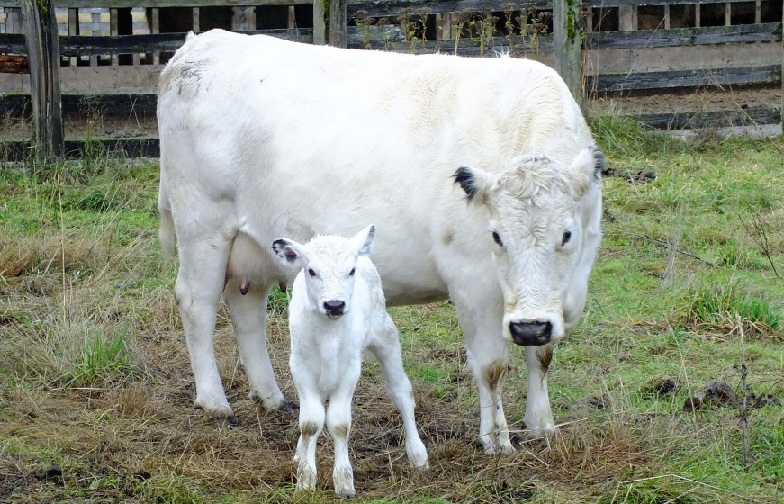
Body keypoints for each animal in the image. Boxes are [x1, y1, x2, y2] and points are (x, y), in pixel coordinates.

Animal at [156, 28, 604, 452]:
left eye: (567, 233)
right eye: (495, 235)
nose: (529, 326)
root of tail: (199, 45)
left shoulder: (557, 296)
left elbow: (542, 355)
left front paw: (542, 425)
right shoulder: (472, 280)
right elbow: (491, 365)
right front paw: (496, 439)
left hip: (254, 245)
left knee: (246, 307)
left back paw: (271, 397)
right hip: (203, 225)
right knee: (197, 303)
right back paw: (215, 402)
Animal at [272, 226, 428, 498]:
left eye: (351, 270)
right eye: (311, 270)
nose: (334, 305)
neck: (328, 334)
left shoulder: (349, 369)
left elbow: (339, 423)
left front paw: (344, 483)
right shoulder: (300, 366)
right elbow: (310, 422)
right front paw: (305, 480)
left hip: (386, 336)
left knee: (401, 393)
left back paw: (418, 454)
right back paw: (300, 452)